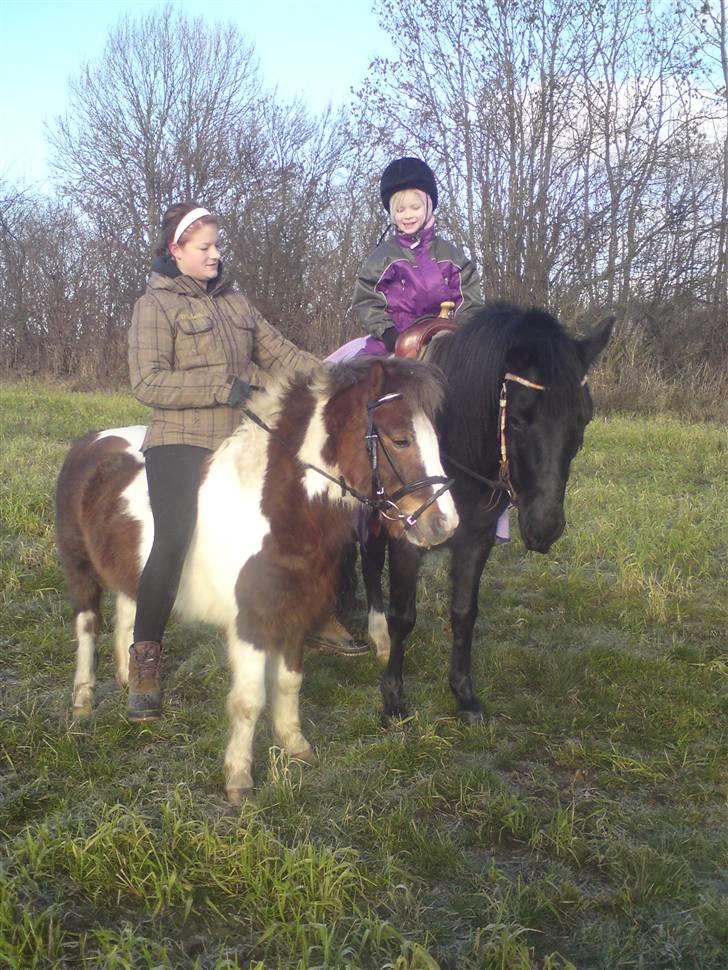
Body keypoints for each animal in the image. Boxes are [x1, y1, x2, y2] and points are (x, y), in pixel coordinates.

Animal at [55, 357, 459, 802]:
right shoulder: (251, 625)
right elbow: (250, 699)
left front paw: (295, 746)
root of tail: (91, 441)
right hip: (79, 570)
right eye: (401, 439)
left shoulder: (294, 616)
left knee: (130, 613)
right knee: (87, 629)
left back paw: (135, 686)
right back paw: (83, 702)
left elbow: (288, 683)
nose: (445, 524)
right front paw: (239, 779)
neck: (273, 516)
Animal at [360, 301, 614, 724]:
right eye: (519, 418)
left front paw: (464, 694)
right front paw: (393, 698)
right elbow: (403, 616)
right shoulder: (406, 541)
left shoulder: (476, 540)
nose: (545, 526)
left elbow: (464, 611)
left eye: (584, 418)